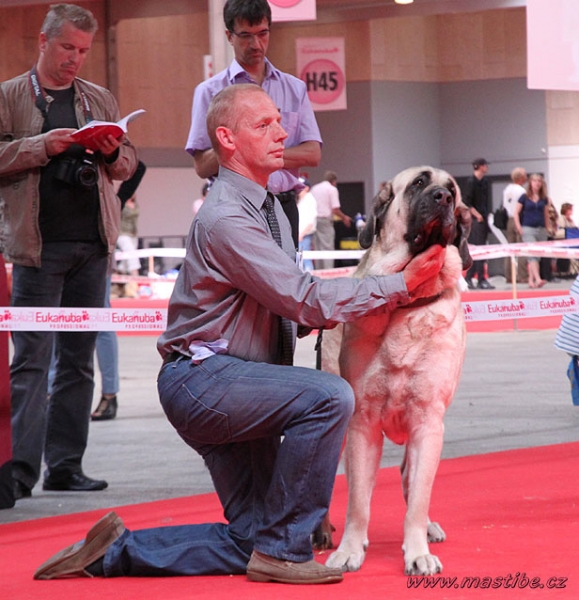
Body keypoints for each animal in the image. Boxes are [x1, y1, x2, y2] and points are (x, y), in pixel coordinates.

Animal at [324, 165, 474, 576]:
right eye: (420, 183)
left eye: (453, 190)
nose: (443, 197)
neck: (405, 303)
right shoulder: (361, 423)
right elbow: (358, 501)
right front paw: (349, 549)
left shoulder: (428, 420)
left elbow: (418, 494)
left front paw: (417, 550)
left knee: (411, 478)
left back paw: (428, 528)